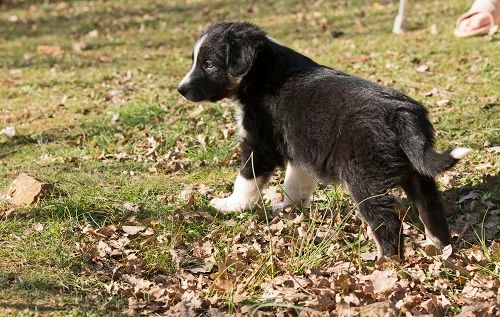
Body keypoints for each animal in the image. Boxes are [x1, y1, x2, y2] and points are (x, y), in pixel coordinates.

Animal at [178, 22, 470, 260]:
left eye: (209, 64)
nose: (180, 89)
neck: (260, 72)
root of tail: (401, 114)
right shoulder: (300, 148)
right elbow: (295, 182)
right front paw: (288, 208)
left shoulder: (260, 144)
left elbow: (245, 180)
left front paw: (231, 205)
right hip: (418, 171)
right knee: (430, 206)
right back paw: (439, 246)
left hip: (364, 180)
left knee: (386, 223)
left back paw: (384, 262)